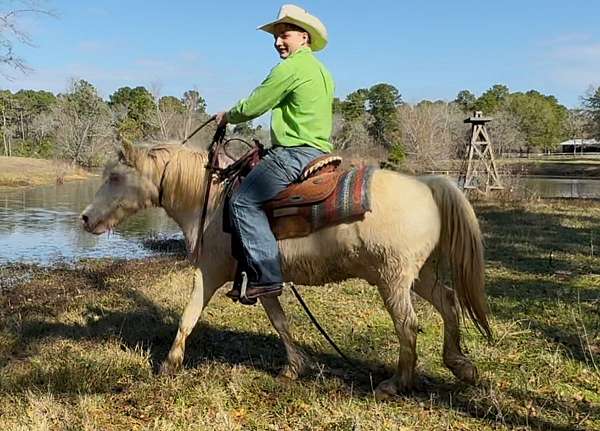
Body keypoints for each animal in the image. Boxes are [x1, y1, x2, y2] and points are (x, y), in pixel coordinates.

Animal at [81, 142, 492, 402]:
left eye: (115, 178)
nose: (85, 218)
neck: (211, 203)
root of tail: (428, 184)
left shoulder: (210, 271)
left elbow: (189, 315)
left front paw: (169, 364)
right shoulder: (261, 279)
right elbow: (280, 321)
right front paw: (295, 367)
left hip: (392, 279)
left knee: (407, 325)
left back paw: (397, 383)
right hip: (417, 276)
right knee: (448, 302)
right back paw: (461, 365)